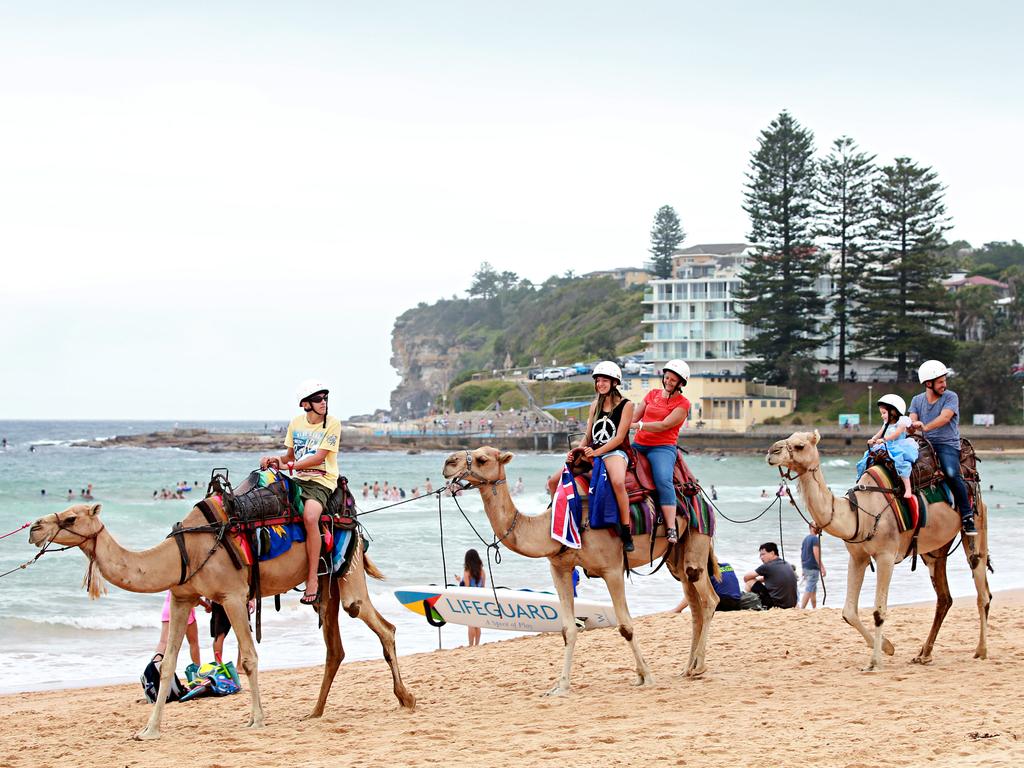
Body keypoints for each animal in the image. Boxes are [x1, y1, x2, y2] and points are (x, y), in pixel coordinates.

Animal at [32, 501, 415, 741]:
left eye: (71, 518)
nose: (35, 527)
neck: (181, 554)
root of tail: (352, 521)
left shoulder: (232, 595)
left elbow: (248, 658)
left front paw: (256, 719)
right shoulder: (182, 597)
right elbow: (168, 664)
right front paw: (149, 731)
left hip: (348, 567)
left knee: (377, 622)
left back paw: (406, 698)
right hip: (327, 585)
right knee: (335, 648)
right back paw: (315, 712)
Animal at [442, 448, 720, 696]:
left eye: (482, 459)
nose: (448, 463)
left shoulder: (612, 568)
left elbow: (626, 625)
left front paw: (646, 676)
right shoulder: (560, 568)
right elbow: (568, 629)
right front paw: (560, 687)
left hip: (697, 538)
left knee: (709, 598)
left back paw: (699, 667)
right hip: (676, 558)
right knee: (694, 604)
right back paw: (688, 668)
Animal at [770, 434, 991, 671]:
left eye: (800, 445)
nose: (772, 452)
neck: (860, 513)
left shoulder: (886, 556)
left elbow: (879, 611)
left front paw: (874, 662)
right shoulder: (857, 557)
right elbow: (848, 612)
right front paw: (888, 647)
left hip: (976, 521)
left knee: (981, 585)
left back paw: (981, 650)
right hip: (935, 548)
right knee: (944, 598)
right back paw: (924, 654)